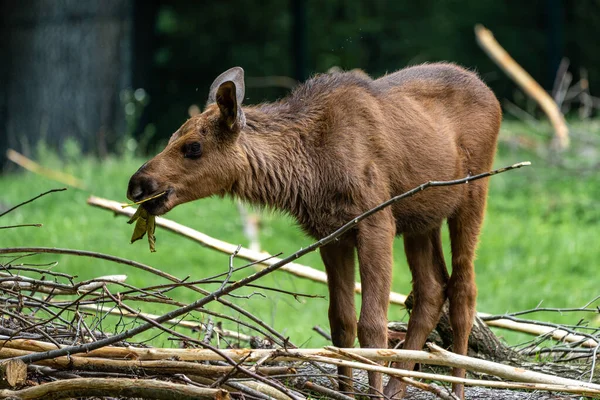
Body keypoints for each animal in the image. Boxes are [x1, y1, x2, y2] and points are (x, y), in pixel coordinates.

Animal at [127, 63, 502, 396]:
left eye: (193, 147)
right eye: (172, 137)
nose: (138, 185)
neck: (308, 171)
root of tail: (490, 92)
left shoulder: (376, 221)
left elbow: (371, 325)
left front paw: (370, 391)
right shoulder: (331, 234)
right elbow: (341, 322)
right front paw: (346, 390)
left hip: (472, 195)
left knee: (464, 290)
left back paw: (456, 387)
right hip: (422, 220)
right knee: (432, 288)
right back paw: (398, 386)